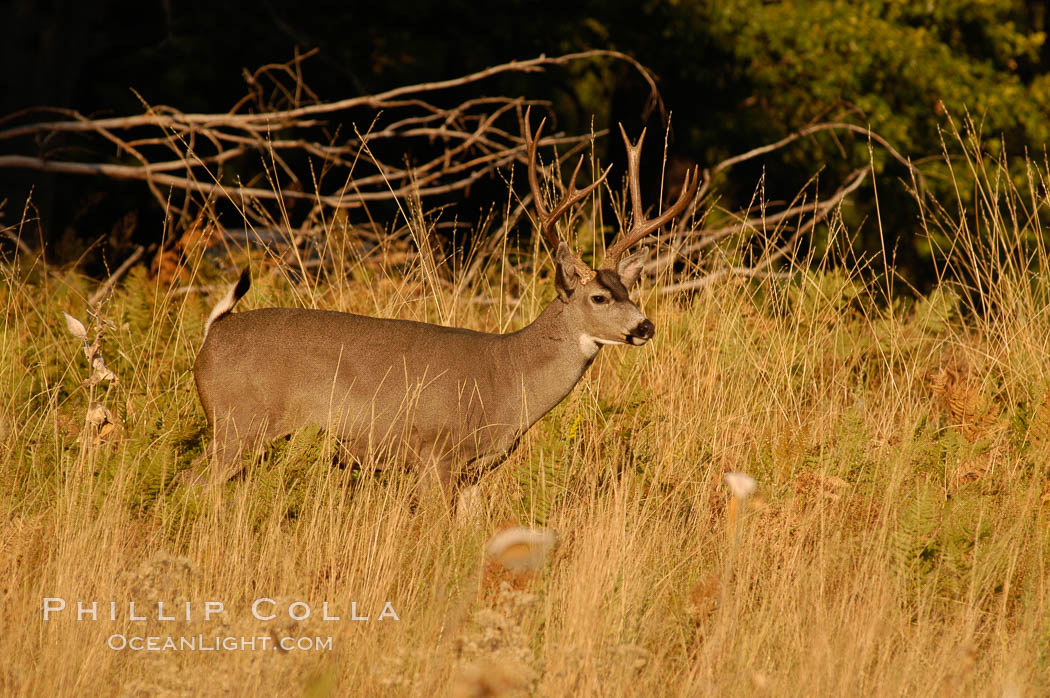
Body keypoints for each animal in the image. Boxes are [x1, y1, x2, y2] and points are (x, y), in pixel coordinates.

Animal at [191, 110, 697, 495]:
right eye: (598, 296)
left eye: (630, 292)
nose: (645, 326)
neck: (507, 377)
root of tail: (214, 332)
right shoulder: (436, 454)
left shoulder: (476, 470)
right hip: (237, 425)